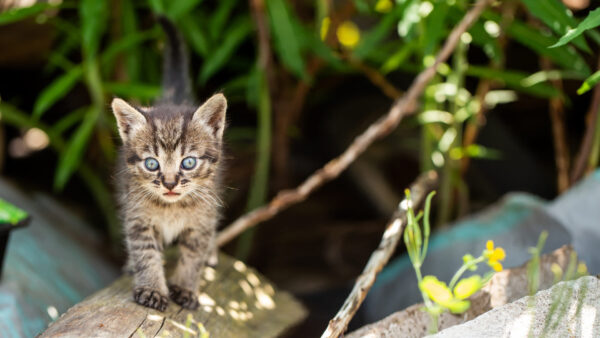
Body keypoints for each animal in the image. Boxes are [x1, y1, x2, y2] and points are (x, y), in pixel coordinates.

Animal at [111, 17, 226, 310]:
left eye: (188, 162)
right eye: (152, 164)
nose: (171, 183)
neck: (172, 208)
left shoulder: (202, 221)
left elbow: (193, 257)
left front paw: (185, 287)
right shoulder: (137, 219)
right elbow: (146, 254)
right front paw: (152, 288)